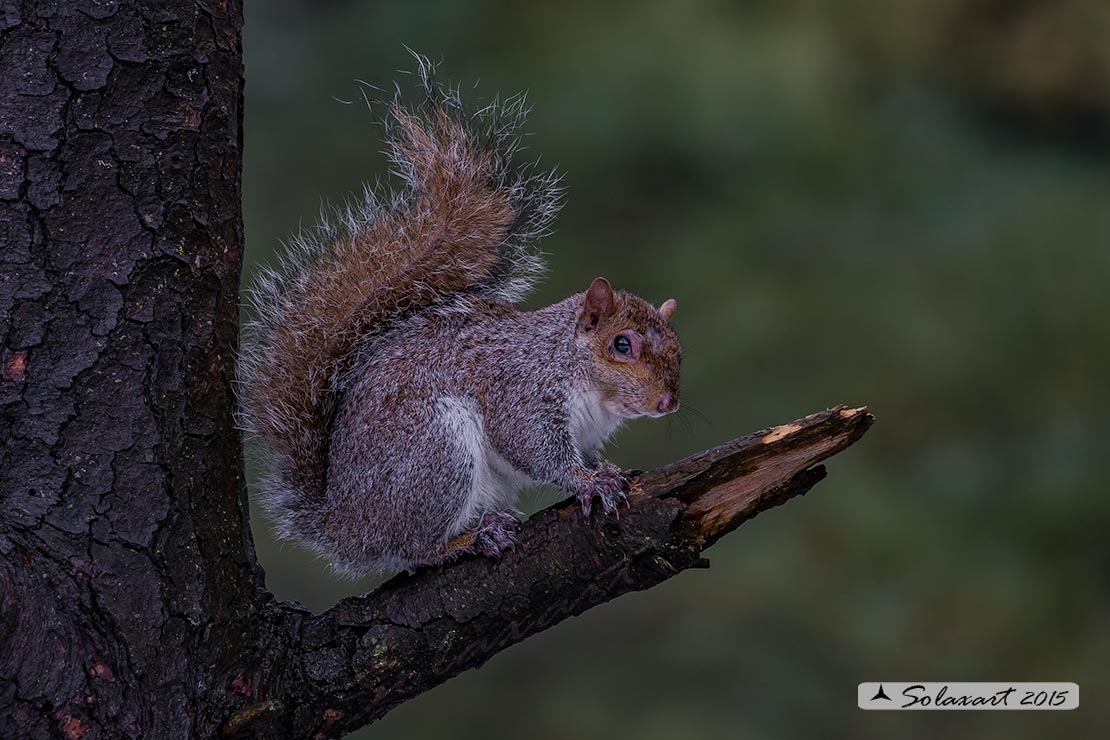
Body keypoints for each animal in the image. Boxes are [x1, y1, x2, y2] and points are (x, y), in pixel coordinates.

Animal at [238, 59, 679, 576]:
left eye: (679, 348)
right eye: (621, 344)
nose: (668, 402)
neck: (578, 373)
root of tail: (345, 524)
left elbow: (586, 454)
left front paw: (603, 470)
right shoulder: (521, 391)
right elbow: (534, 447)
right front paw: (587, 481)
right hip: (433, 452)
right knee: (413, 549)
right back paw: (469, 539)